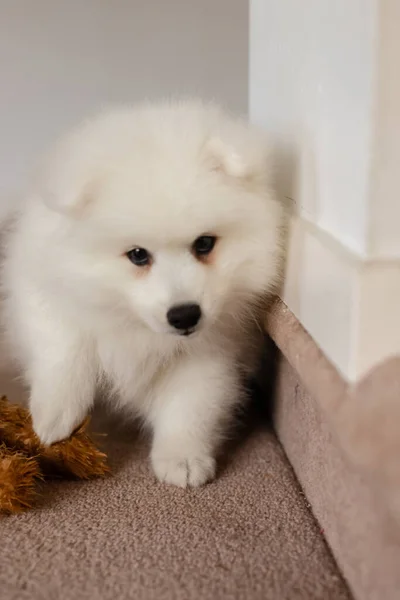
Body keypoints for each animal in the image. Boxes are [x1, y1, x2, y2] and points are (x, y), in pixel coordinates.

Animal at [3, 101, 284, 488]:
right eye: (138, 255)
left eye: (204, 244)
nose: (185, 315)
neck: (133, 325)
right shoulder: (44, 293)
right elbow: (63, 352)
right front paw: (52, 419)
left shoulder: (213, 347)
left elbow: (191, 402)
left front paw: (182, 457)